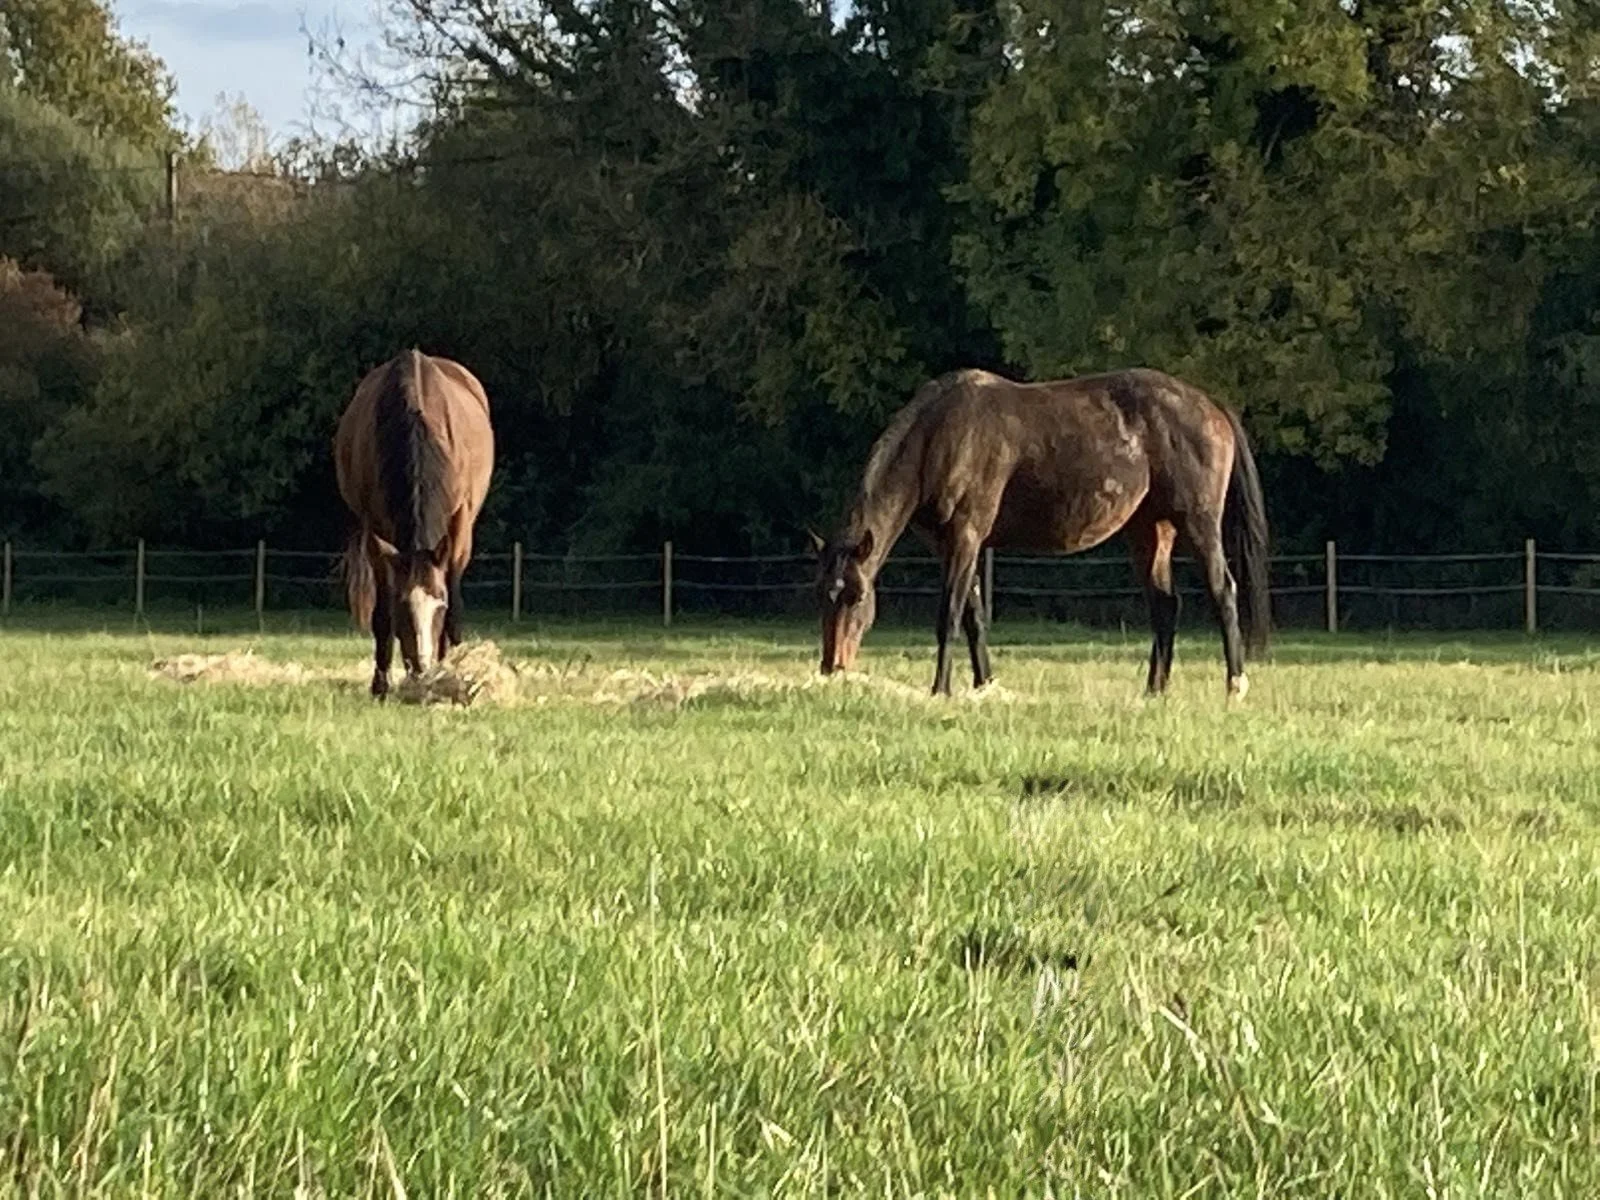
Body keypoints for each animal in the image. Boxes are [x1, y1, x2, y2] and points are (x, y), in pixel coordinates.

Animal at [334, 349, 495, 698]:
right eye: (402, 607)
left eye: (440, 606)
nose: (421, 668)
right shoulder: (375, 532)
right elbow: (382, 616)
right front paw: (380, 685)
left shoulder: (459, 527)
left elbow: (455, 608)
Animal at [812, 367, 1270, 699]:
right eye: (823, 595)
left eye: (857, 597)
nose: (832, 666)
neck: (943, 434)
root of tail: (1210, 404)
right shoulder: (956, 546)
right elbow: (975, 616)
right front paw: (984, 685)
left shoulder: (965, 536)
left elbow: (950, 615)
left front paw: (940, 689)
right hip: (1150, 530)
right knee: (1165, 606)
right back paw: (1154, 691)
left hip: (1198, 524)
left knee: (1223, 591)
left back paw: (1235, 685)